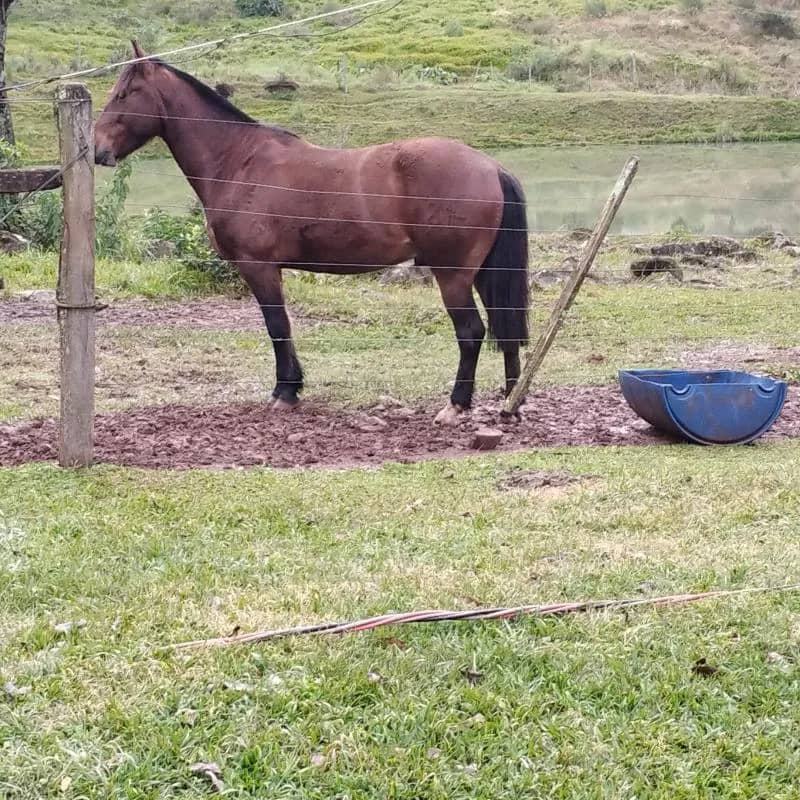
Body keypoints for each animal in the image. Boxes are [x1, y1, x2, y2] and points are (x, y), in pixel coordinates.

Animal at [94, 42, 530, 425]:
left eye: (124, 93)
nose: (98, 149)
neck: (239, 160)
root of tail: (490, 166)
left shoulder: (259, 267)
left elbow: (278, 326)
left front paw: (285, 392)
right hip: (484, 273)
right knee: (506, 331)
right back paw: (511, 402)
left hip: (452, 275)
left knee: (471, 333)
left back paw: (456, 405)